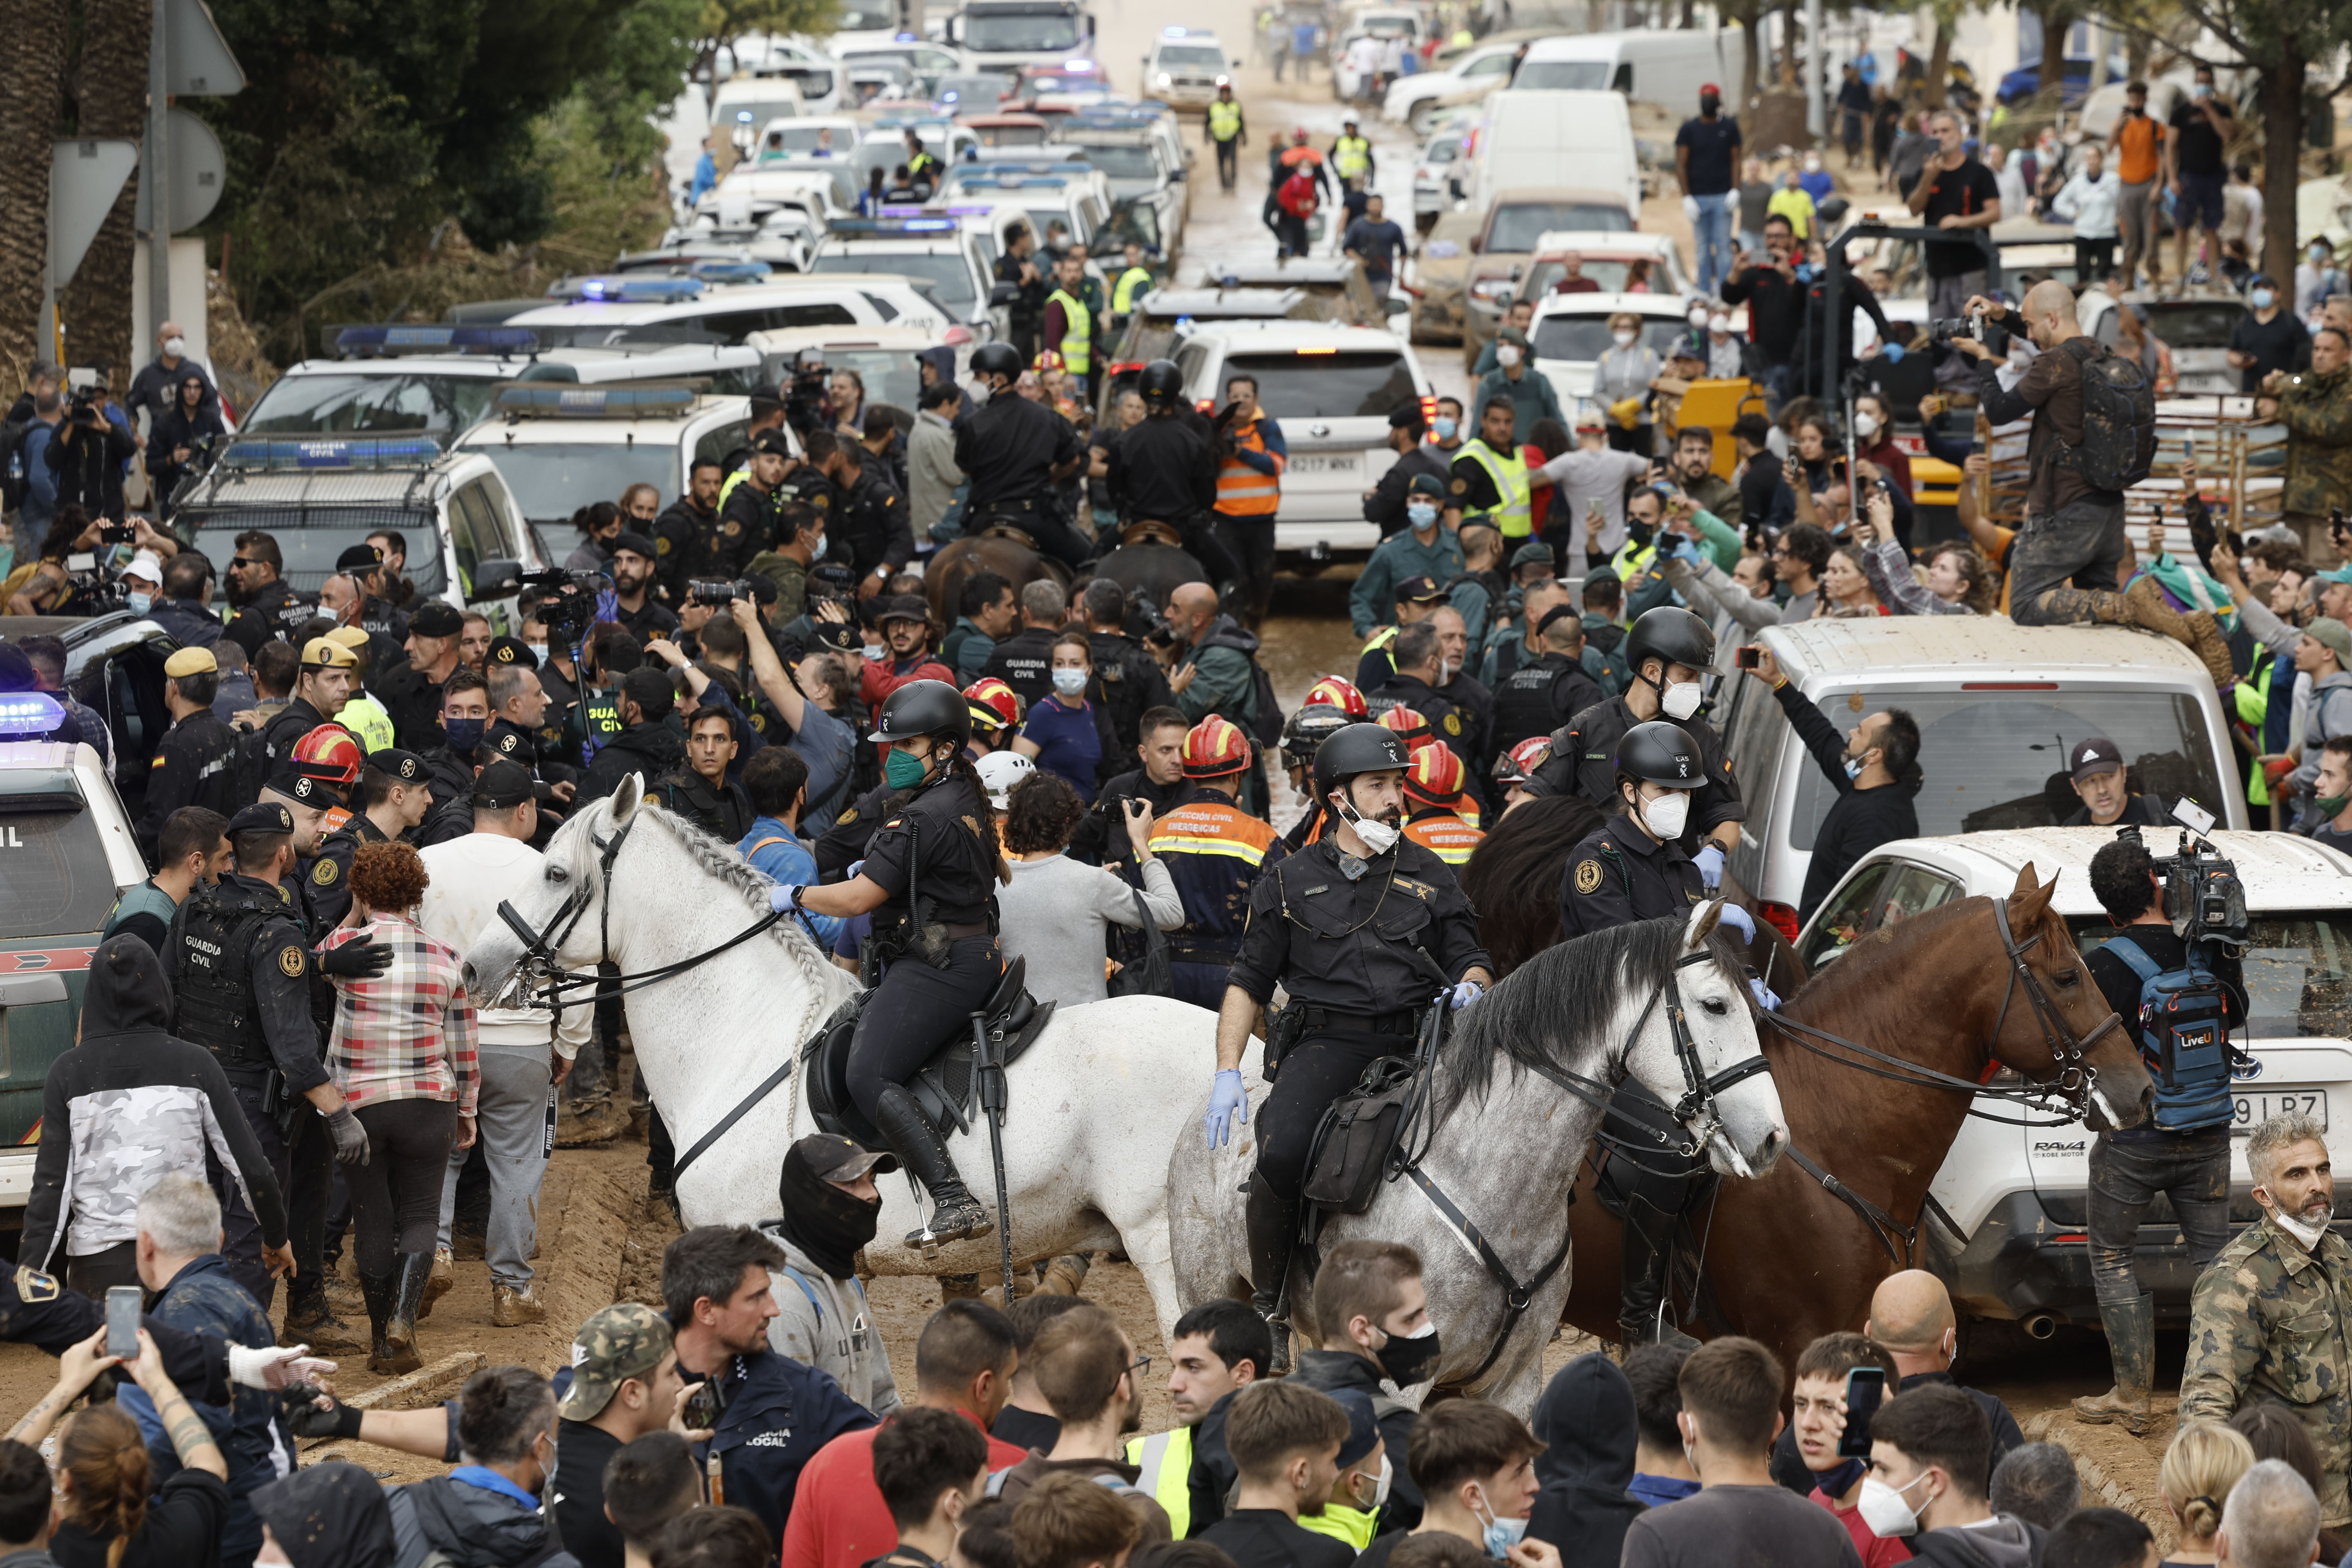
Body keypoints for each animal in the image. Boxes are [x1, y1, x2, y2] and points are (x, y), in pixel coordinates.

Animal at [1166, 902, 1787, 1420]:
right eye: (1715, 1005)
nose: (1774, 1139)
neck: (1494, 1190)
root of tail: (1209, 1108)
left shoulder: (1512, 1385)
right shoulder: (1401, 1382)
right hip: (1210, 1297)